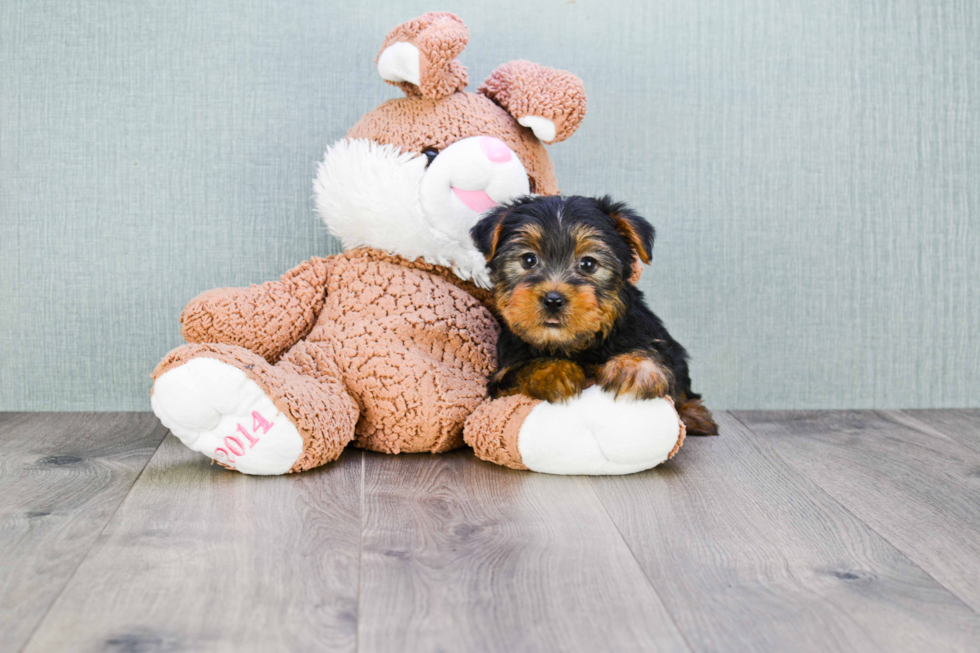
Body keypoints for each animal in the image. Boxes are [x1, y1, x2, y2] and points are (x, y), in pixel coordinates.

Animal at [470, 196, 716, 436]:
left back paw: (695, 415)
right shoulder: (501, 379)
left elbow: (657, 355)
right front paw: (553, 370)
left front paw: (632, 367)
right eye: (529, 260)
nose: (553, 300)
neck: (572, 345)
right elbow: (519, 371)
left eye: (588, 264)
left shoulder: (644, 332)